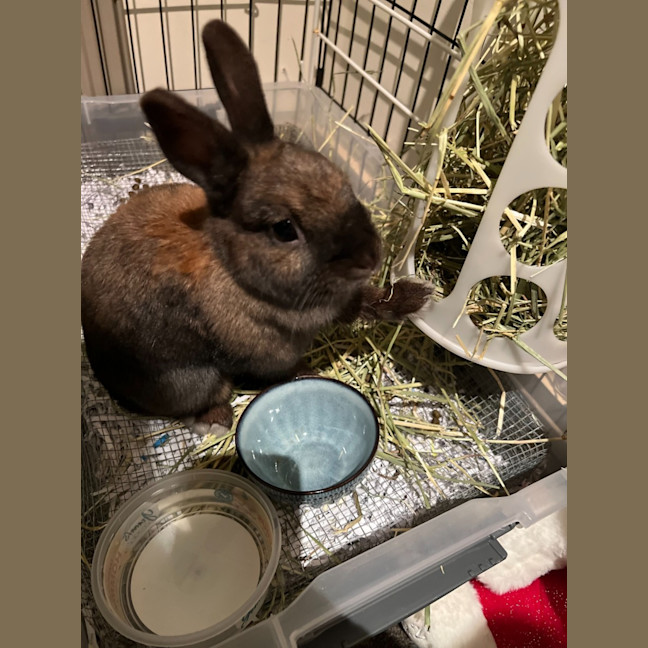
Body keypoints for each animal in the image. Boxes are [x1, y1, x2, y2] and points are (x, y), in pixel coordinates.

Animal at [81, 19, 432, 431]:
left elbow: (366, 303)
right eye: (284, 229)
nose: (370, 258)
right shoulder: (262, 356)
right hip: (189, 379)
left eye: (341, 179)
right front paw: (308, 377)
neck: (234, 269)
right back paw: (216, 419)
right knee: (205, 396)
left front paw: (415, 297)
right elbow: (281, 372)